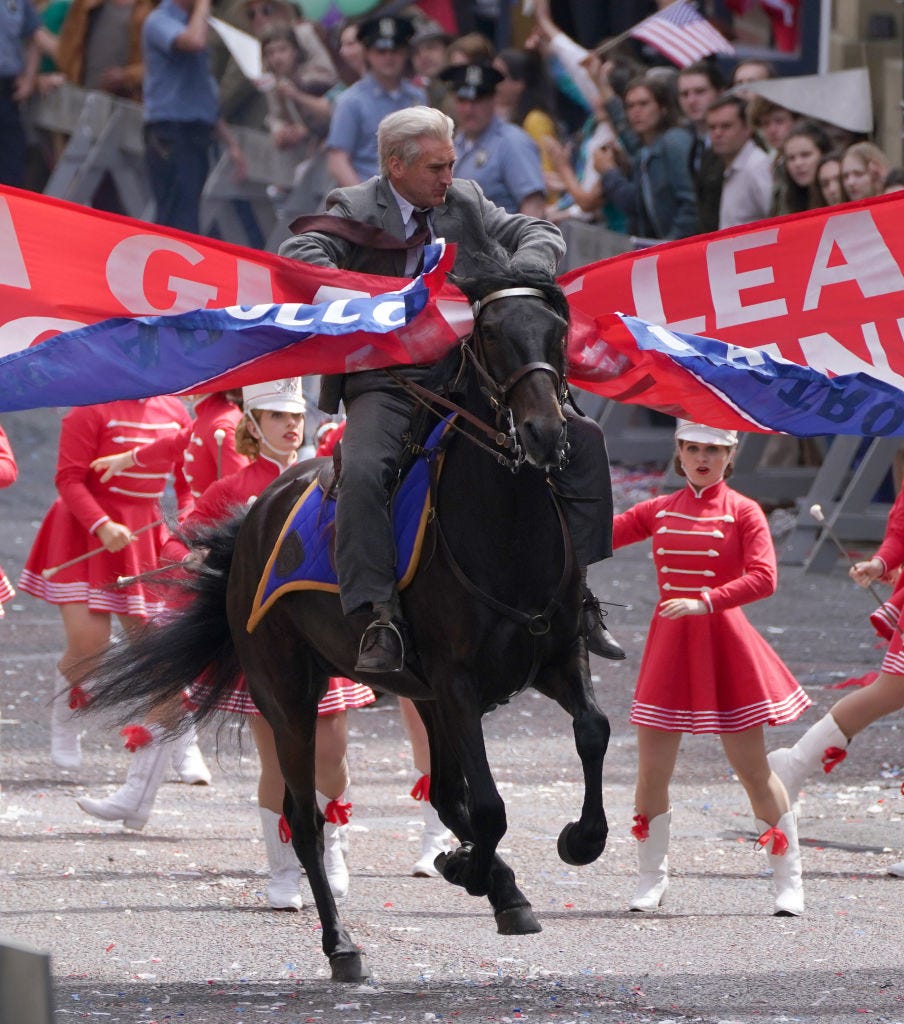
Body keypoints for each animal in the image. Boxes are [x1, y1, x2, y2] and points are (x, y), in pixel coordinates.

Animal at [84, 264, 610, 983]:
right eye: (491, 336)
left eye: (557, 331)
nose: (543, 434)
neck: (505, 532)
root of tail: (256, 518)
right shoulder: (458, 687)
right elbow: (490, 805)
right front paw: (476, 871)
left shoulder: (553, 660)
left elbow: (591, 732)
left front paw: (576, 841)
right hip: (289, 697)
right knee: (306, 818)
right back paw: (343, 945)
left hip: (419, 699)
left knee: (443, 795)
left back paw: (487, 881)